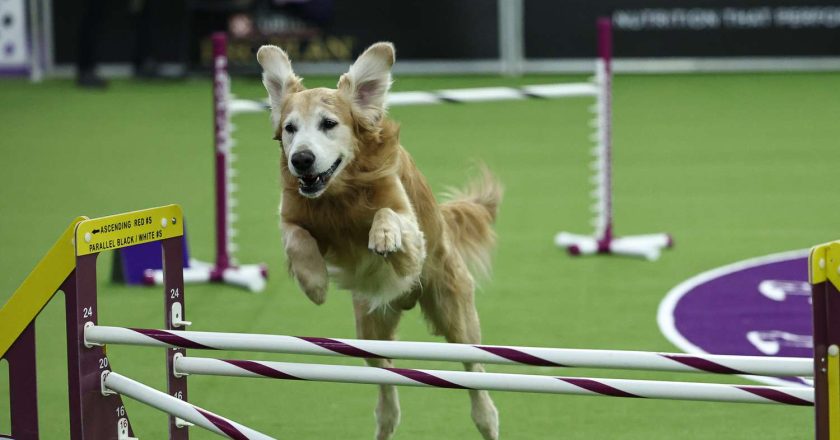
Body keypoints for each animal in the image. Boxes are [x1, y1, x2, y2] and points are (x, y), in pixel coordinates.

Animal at [256, 41, 502, 440]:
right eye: (290, 128)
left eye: (328, 124)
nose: (301, 159)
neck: (340, 195)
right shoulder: (291, 214)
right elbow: (296, 236)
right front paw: (314, 282)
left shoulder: (413, 233)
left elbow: (390, 217)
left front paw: (383, 235)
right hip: (369, 328)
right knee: (386, 376)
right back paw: (386, 419)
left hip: (456, 316)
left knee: (474, 370)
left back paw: (486, 418)